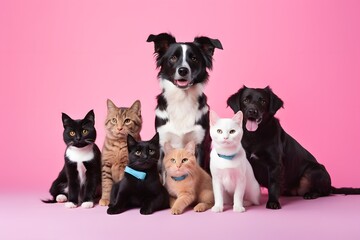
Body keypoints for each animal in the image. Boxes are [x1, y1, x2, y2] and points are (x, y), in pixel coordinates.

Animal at [228, 86, 360, 208]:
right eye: (246, 100)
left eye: (263, 101)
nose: (252, 111)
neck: (254, 135)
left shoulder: (275, 164)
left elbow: (274, 184)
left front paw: (273, 202)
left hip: (314, 170)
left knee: (324, 192)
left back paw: (311, 194)